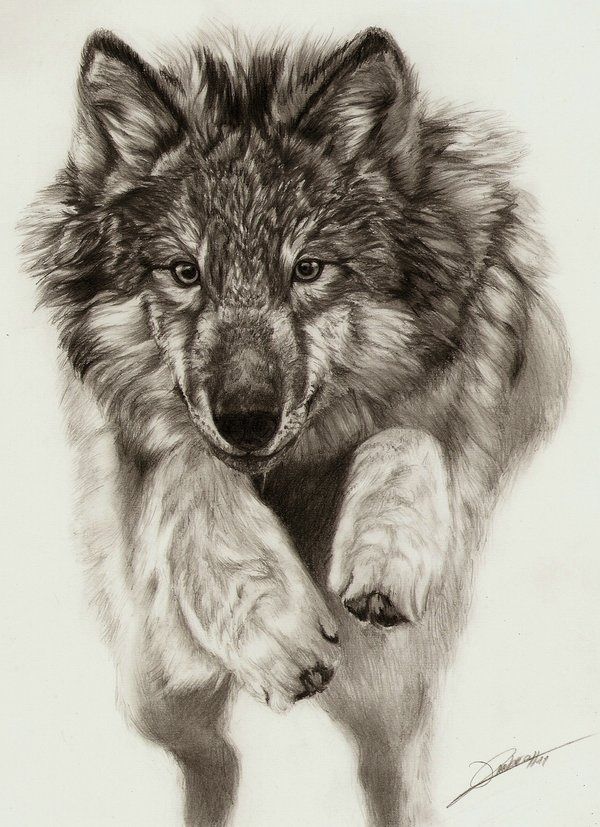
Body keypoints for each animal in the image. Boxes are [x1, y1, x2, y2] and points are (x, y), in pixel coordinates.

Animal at [22, 26, 569, 826]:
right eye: (183, 272)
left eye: (309, 269)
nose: (247, 421)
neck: (287, 474)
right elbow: (189, 467)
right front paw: (274, 628)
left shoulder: (396, 672)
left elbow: (409, 437)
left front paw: (387, 553)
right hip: (149, 689)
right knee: (209, 755)